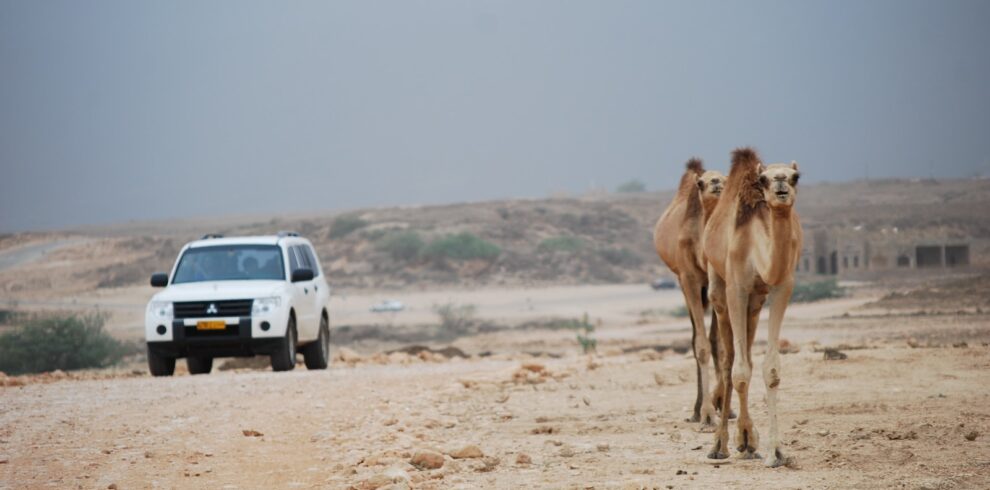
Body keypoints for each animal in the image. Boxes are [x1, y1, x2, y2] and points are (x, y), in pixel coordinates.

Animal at [652, 158, 728, 428]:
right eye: (701, 182)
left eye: (726, 178)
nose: (716, 182)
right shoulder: (689, 279)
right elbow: (702, 345)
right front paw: (707, 412)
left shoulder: (720, 281)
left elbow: (719, 344)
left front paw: (722, 404)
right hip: (683, 283)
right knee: (696, 338)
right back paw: (696, 411)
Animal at [704, 146, 808, 468]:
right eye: (763, 179)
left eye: (796, 176)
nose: (781, 186)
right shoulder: (736, 287)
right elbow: (738, 371)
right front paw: (732, 443)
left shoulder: (782, 285)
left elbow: (770, 369)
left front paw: (776, 452)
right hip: (719, 287)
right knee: (729, 361)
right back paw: (721, 445)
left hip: (755, 302)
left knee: (747, 354)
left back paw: (748, 441)